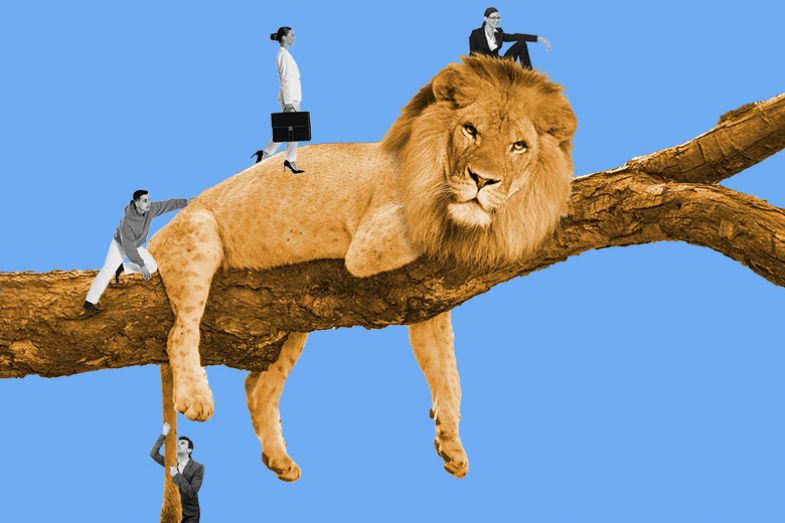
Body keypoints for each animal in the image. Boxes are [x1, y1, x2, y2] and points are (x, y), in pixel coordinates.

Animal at [148, 54, 576, 487]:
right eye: (470, 130)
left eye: (519, 146)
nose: (483, 180)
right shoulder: (370, 243)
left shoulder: (427, 303)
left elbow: (448, 373)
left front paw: (452, 445)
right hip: (199, 233)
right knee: (180, 331)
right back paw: (195, 397)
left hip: (293, 324)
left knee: (258, 386)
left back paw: (280, 460)